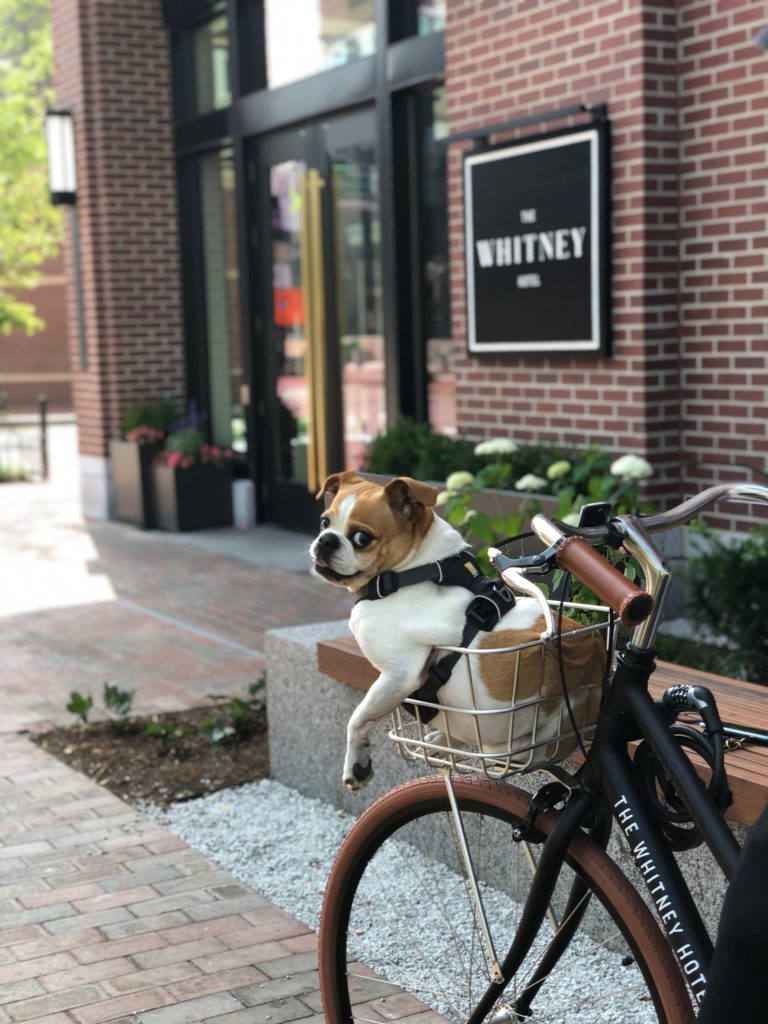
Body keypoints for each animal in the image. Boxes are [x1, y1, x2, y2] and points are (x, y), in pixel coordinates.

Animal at [309, 471, 606, 790]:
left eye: (362, 538)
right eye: (324, 522)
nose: (326, 540)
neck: (414, 571)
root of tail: (592, 654)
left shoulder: (398, 677)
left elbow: (358, 720)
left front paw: (356, 763)